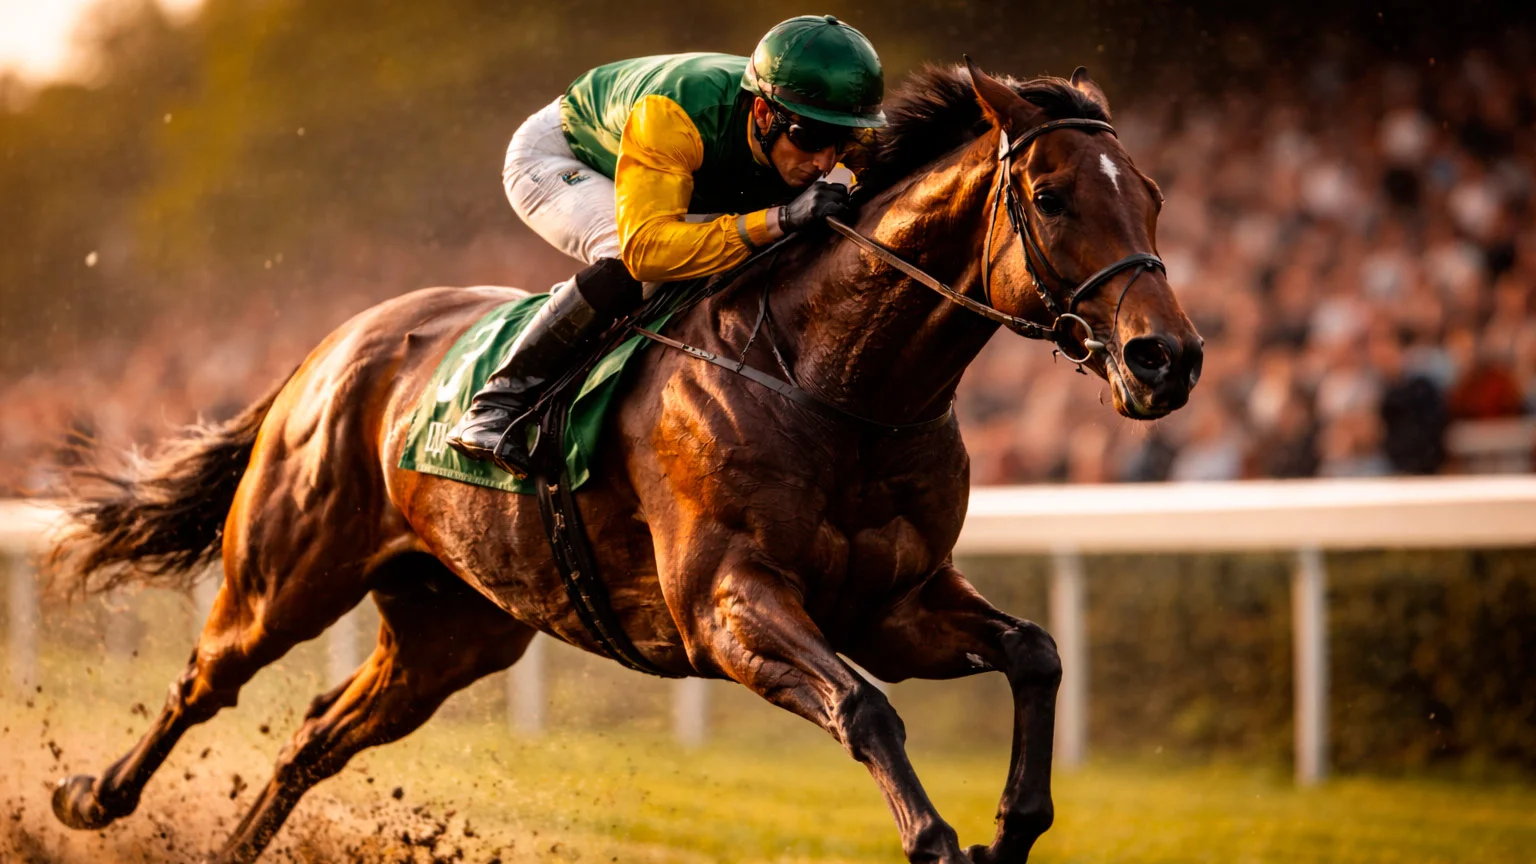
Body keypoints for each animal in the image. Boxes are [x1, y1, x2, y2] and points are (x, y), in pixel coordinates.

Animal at [46, 61, 1201, 864]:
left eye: (1153, 194)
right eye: (1050, 197)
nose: (1169, 357)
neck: (837, 386)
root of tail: (327, 350)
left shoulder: (894, 603)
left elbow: (1037, 652)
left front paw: (1013, 824)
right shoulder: (726, 605)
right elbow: (867, 707)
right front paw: (942, 840)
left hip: (453, 628)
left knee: (316, 738)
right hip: (286, 575)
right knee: (205, 681)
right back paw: (92, 798)